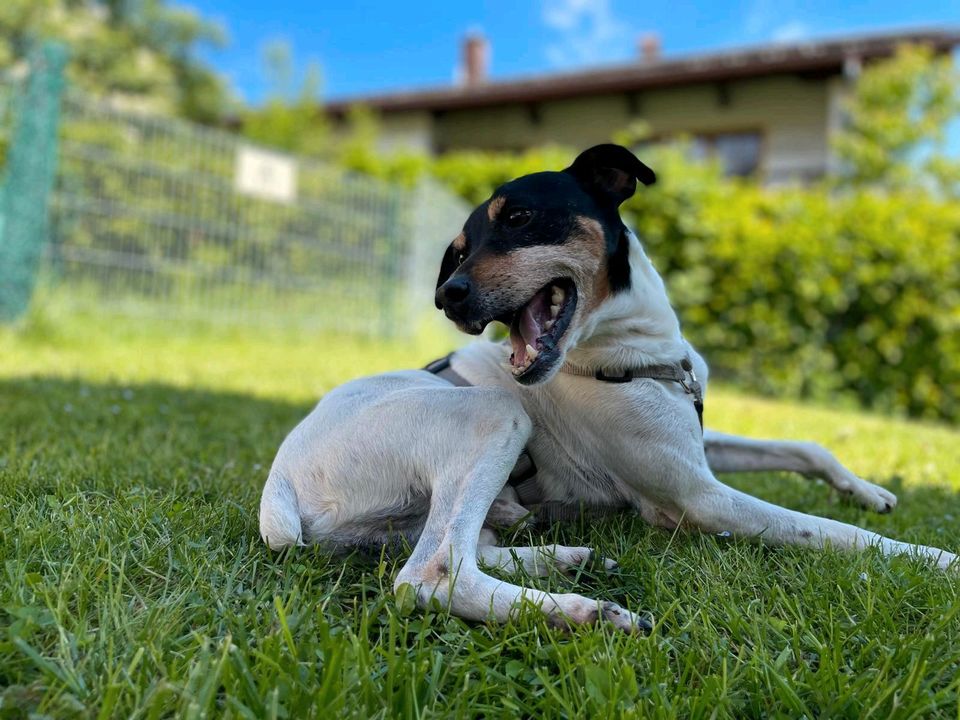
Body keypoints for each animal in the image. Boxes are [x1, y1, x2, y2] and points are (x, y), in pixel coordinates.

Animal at [258, 145, 956, 632]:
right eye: (455, 253)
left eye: (519, 216)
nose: (446, 297)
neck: (634, 350)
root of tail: (280, 486)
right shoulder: (696, 499)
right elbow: (833, 533)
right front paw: (938, 558)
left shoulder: (695, 440)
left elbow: (805, 448)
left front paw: (867, 491)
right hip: (495, 416)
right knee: (433, 573)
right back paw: (579, 611)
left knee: (470, 544)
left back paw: (566, 558)